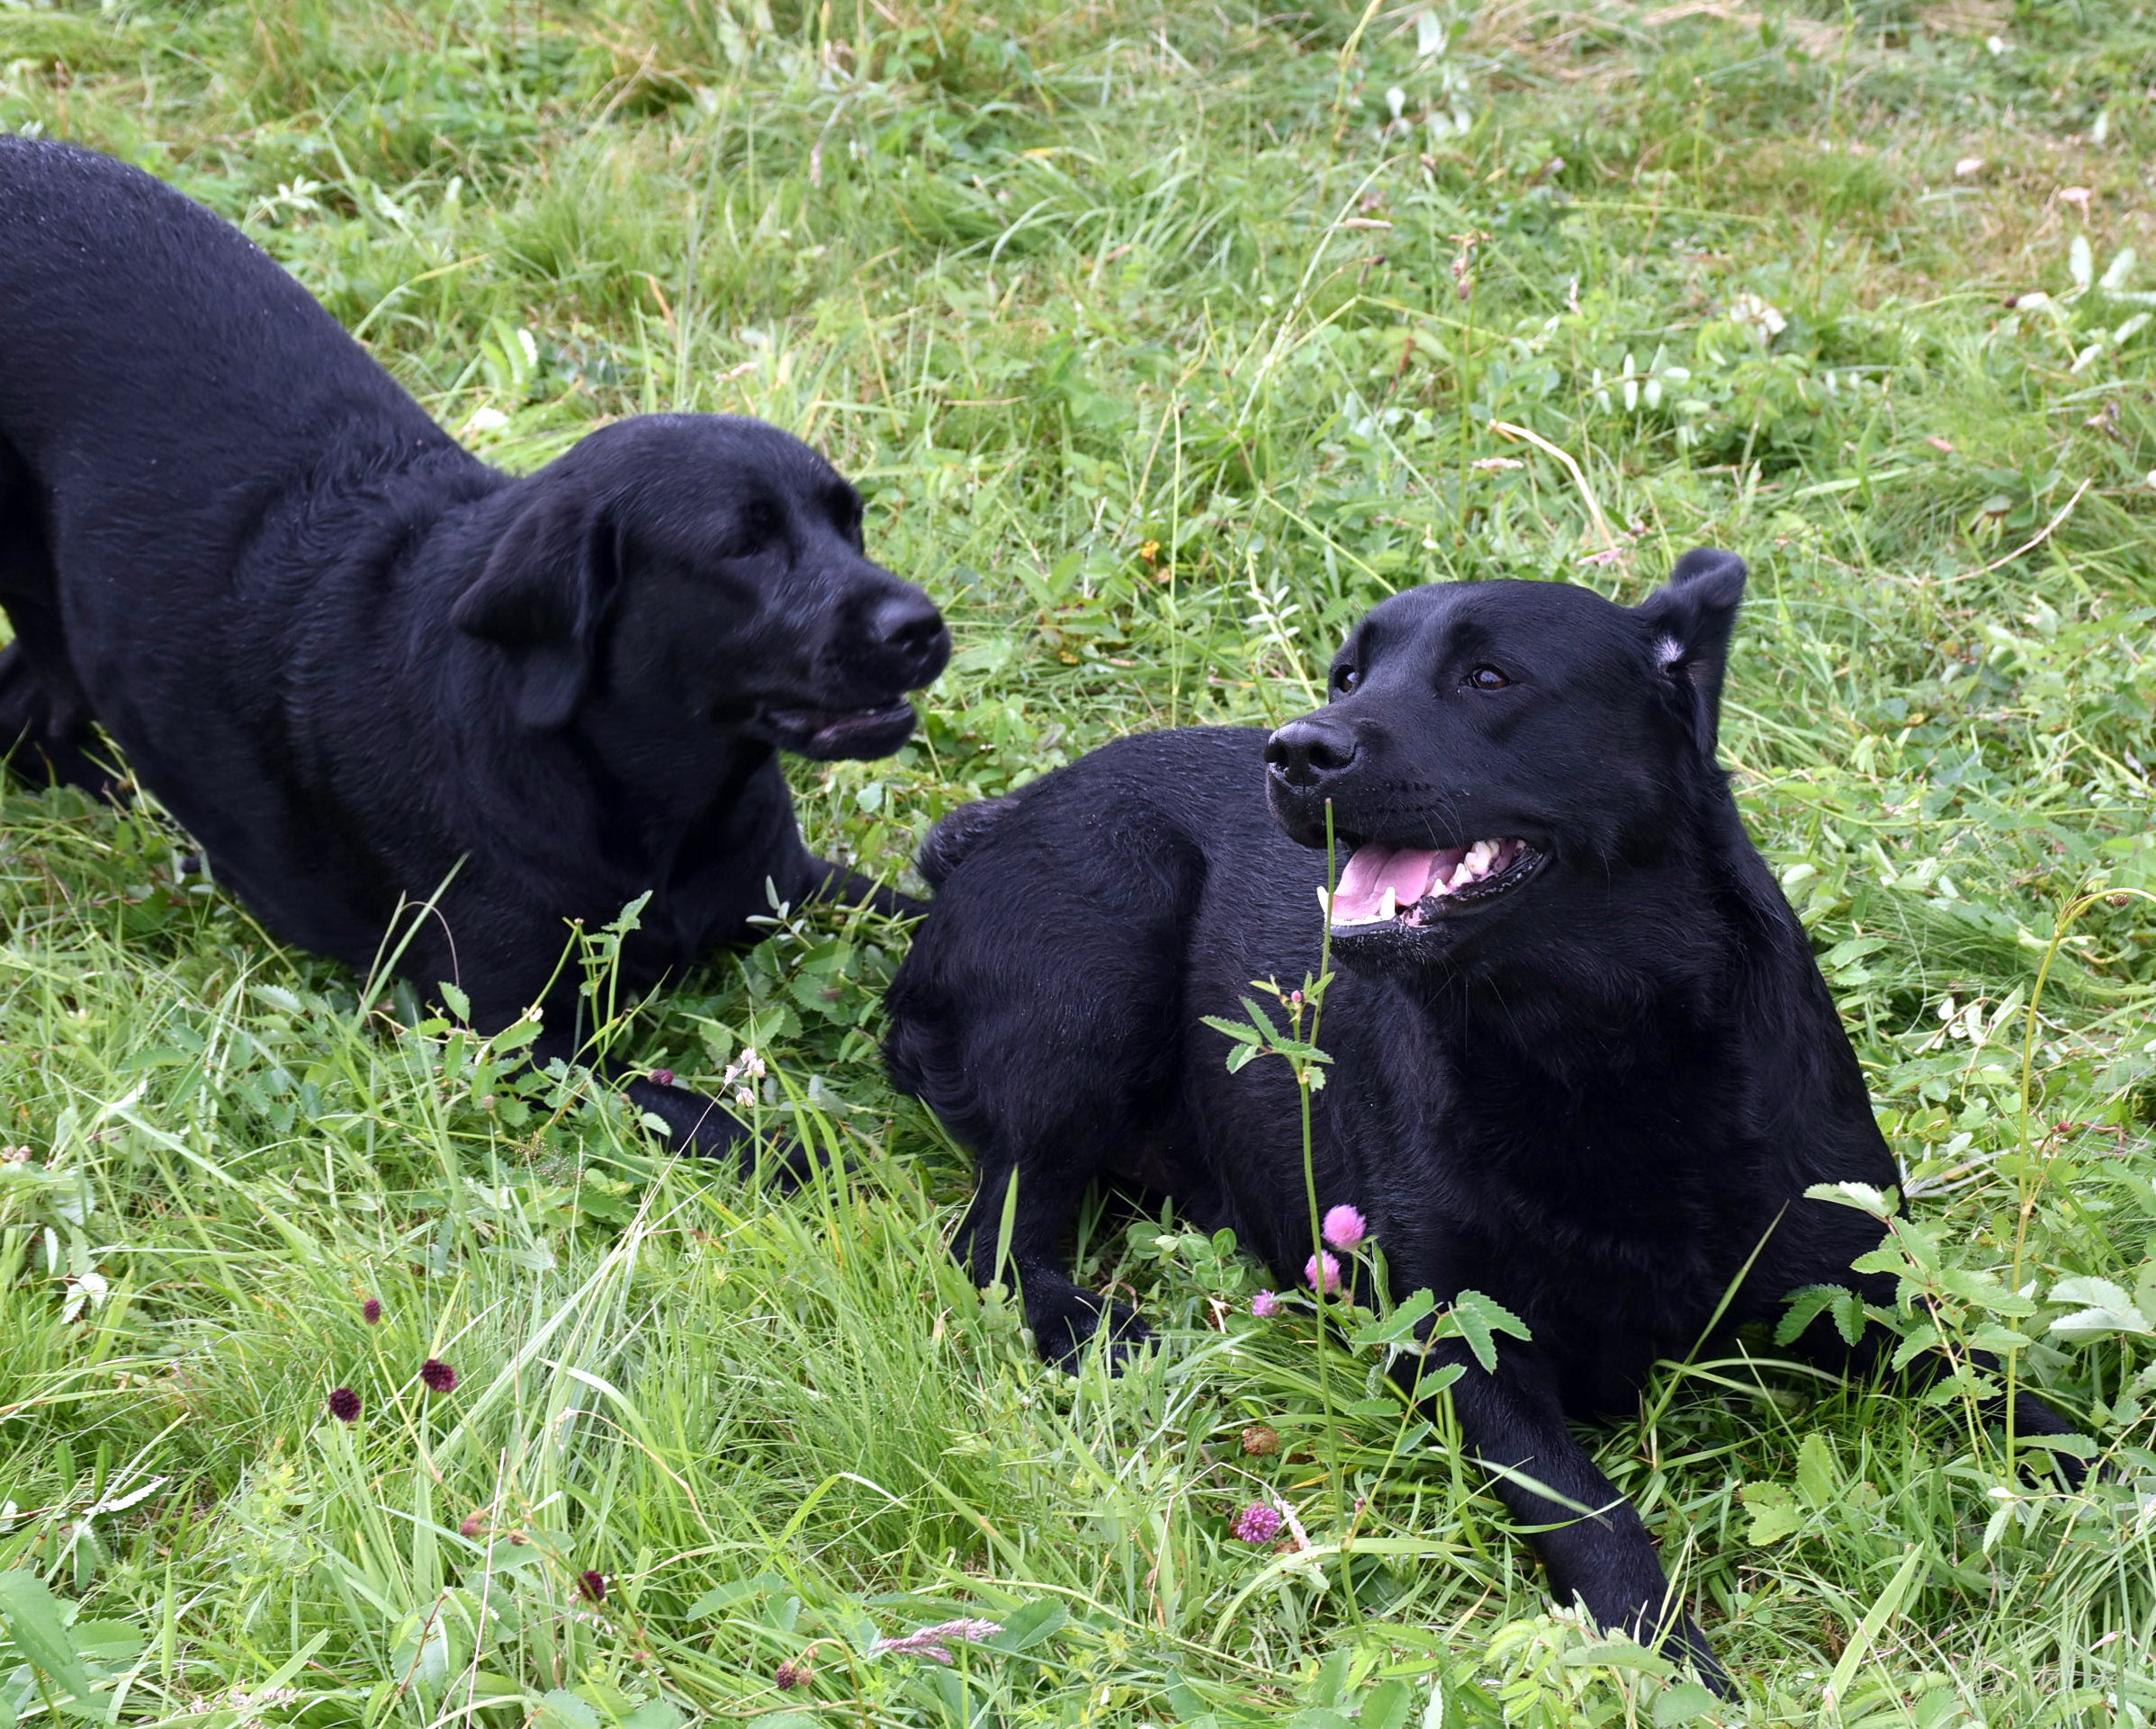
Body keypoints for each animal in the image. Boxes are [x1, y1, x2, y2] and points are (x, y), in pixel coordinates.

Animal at [0, 140, 944, 1155]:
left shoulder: (790, 884)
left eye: (850, 522)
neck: (645, 797)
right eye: (744, 546)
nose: (922, 627)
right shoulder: (510, 1033)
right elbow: (729, 1130)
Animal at [884, 550, 2078, 1681]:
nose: (1296, 751)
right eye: (1348, 675)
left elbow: (2021, 1397)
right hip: (1103, 950)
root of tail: (991, 831)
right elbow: (1595, 1519)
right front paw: (1665, 1666)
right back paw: (1091, 1327)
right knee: (994, 1232)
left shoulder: (1871, 1285)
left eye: (1488, 677)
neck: (1593, 1045)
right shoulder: (1464, 1340)